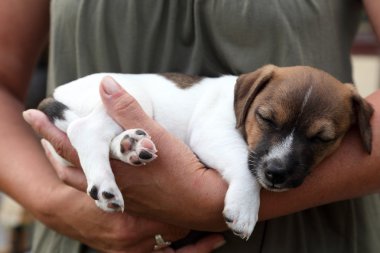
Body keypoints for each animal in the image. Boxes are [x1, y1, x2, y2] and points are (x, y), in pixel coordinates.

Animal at [37, 64, 372, 239]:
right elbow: (244, 163)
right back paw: (106, 186)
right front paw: (245, 206)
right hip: (132, 98)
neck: (240, 107)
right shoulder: (212, 133)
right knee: (84, 130)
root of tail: (56, 93)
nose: (276, 173)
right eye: (266, 118)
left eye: (322, 138)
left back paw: (131, 145)